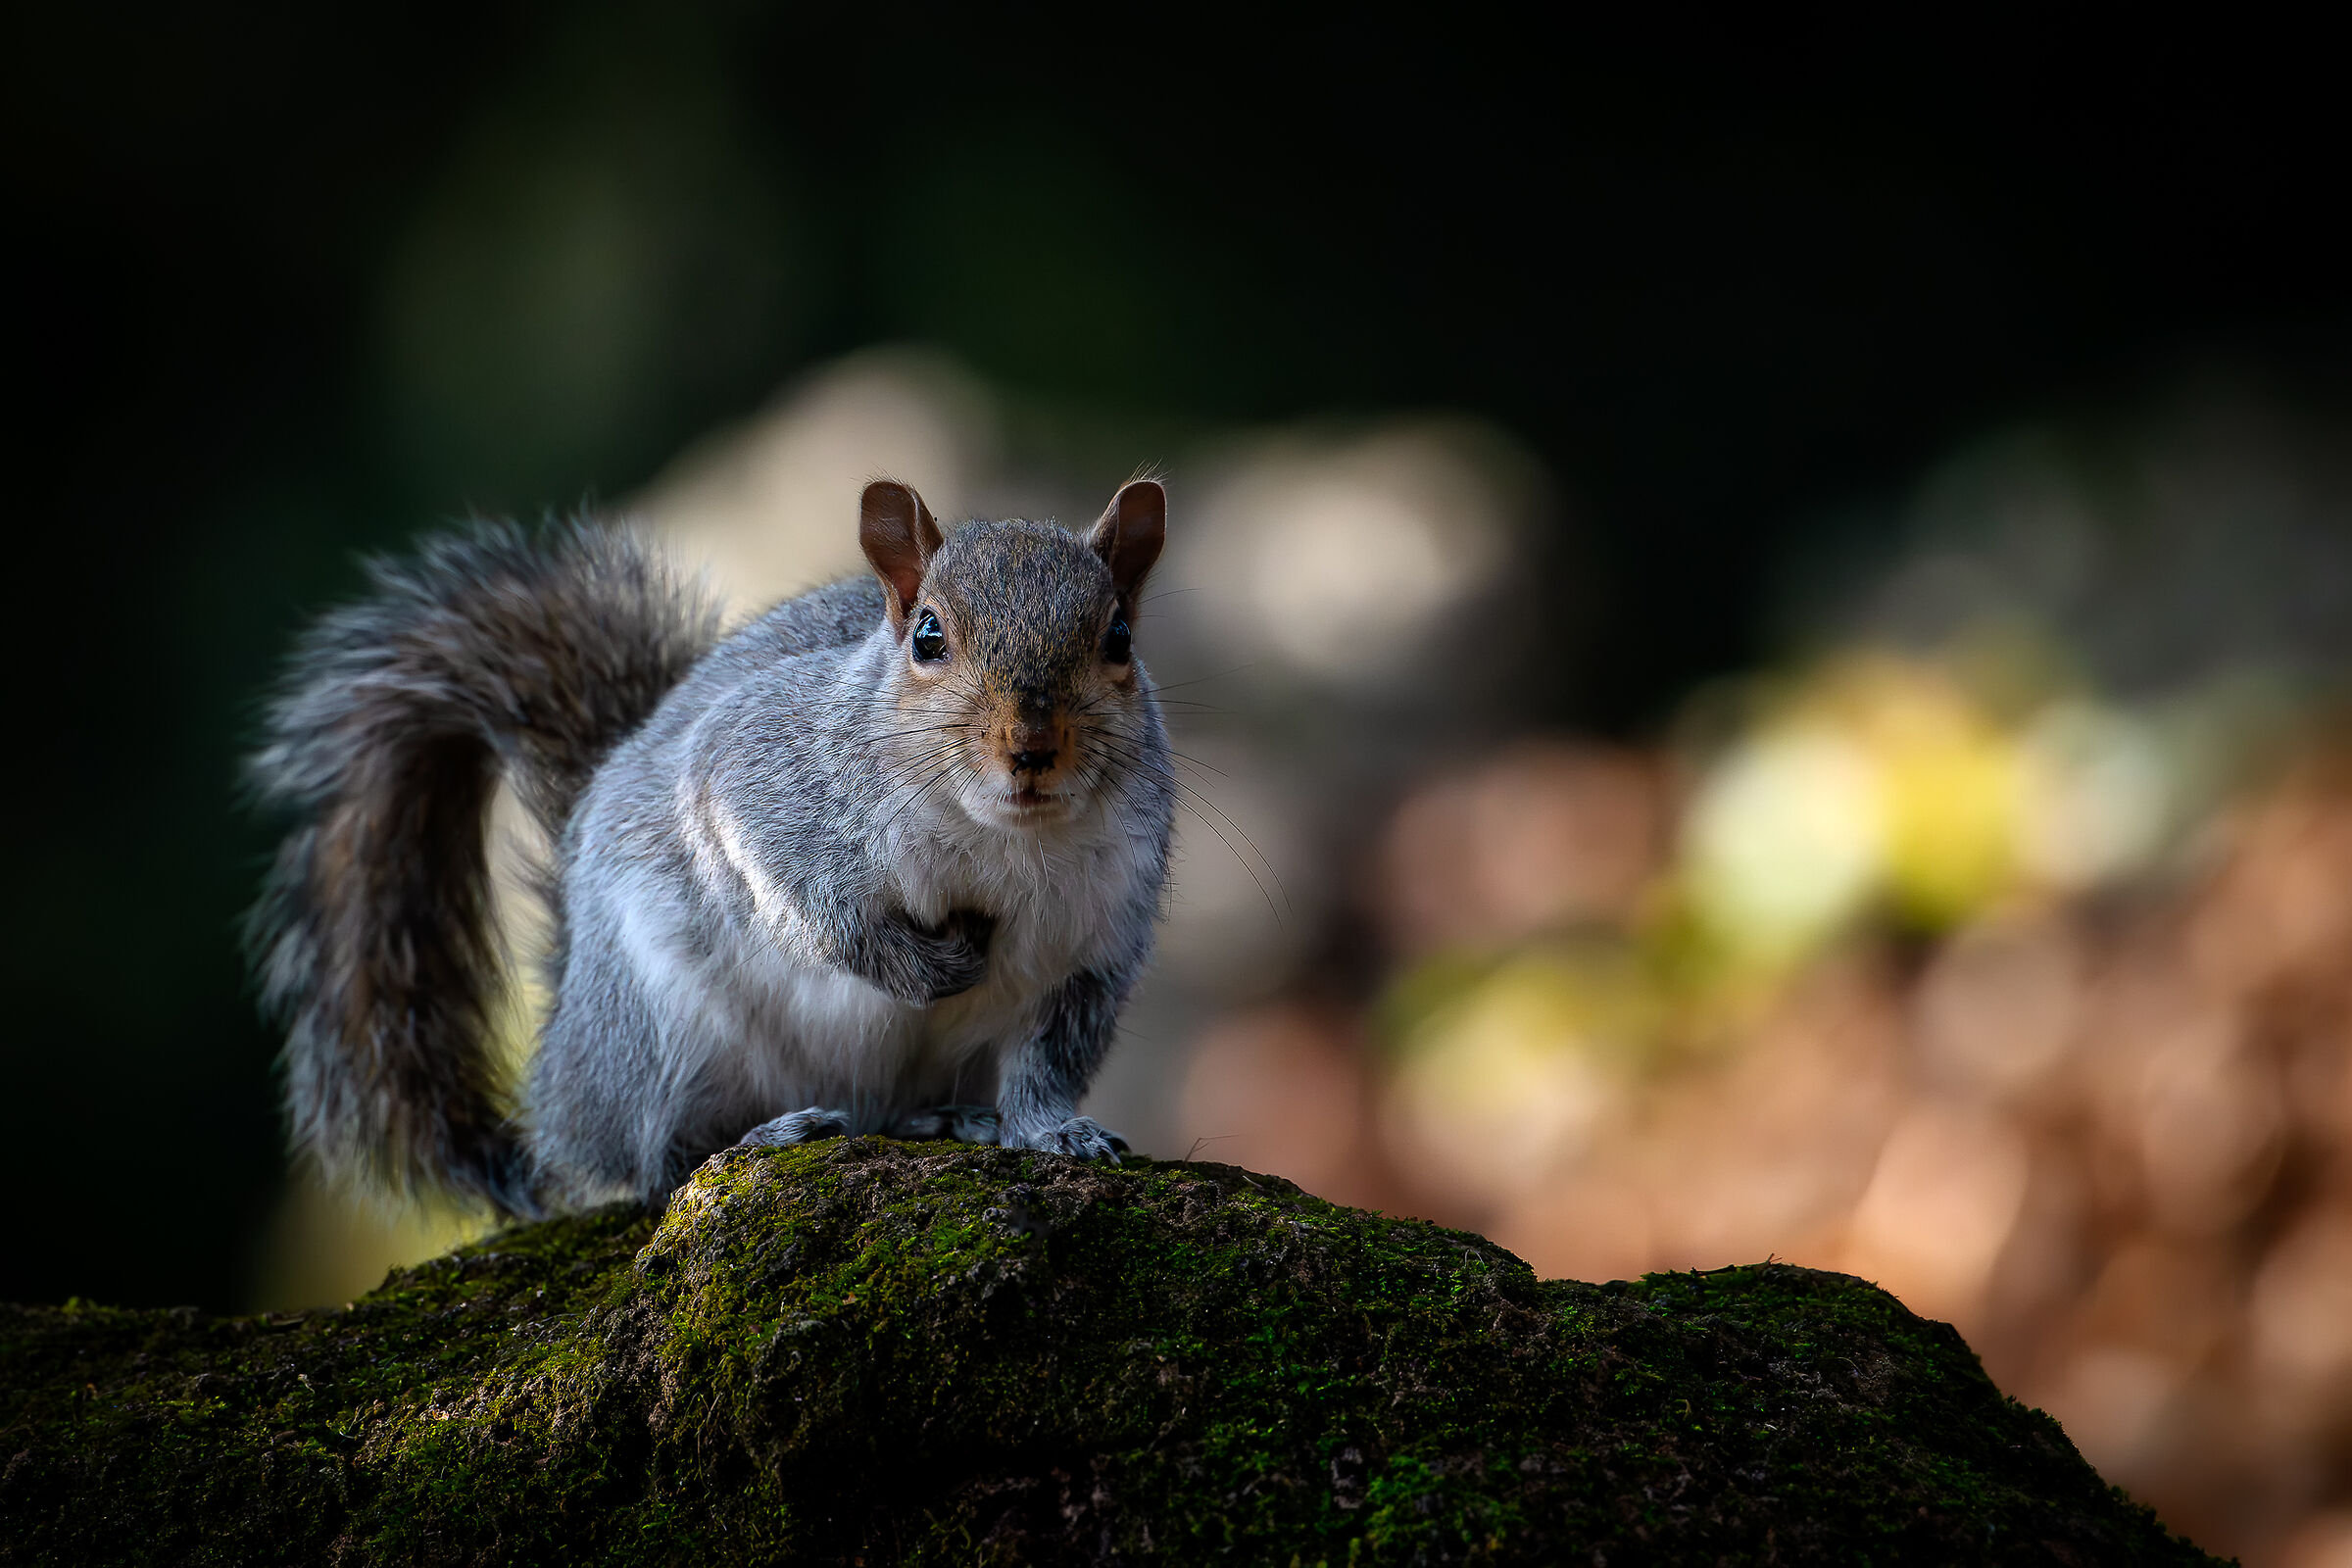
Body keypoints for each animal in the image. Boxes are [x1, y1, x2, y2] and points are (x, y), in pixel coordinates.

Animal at [246, 478, 1175, 1217]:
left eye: (1120, 640)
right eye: (928, 637)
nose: (1032, 746)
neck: (998, 836)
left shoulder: (1095, 947)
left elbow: (1047, 1064)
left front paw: (1058, 1135)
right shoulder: (752, 777)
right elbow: (809, 904)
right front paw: (920, 968)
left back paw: (937, 1119)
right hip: (659, 1026)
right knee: (657, 1164)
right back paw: (762, 1139)